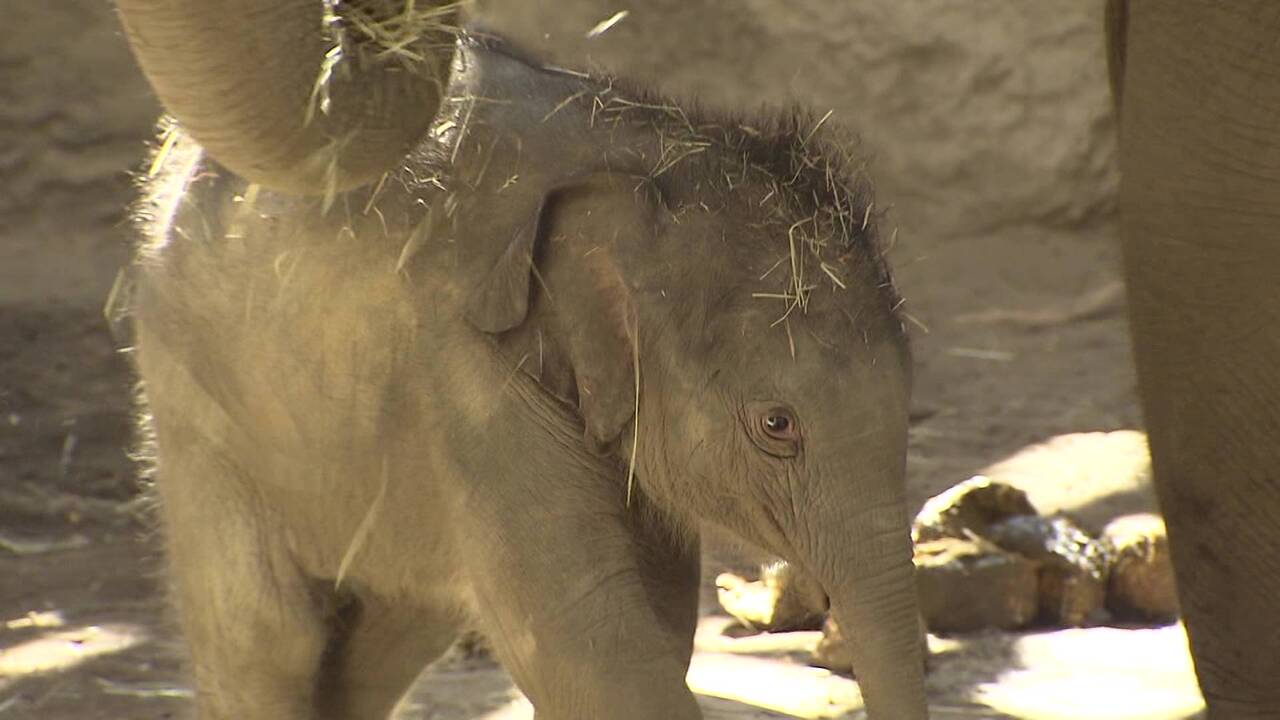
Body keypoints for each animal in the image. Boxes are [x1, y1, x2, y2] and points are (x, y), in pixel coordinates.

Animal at [115, 2, 926, 712]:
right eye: (777, 426)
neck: (648, 159)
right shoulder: (463, 382)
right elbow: (591, 647)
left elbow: (659, 624)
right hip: (199, 417)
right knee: (268, 638)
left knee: (388, 642)